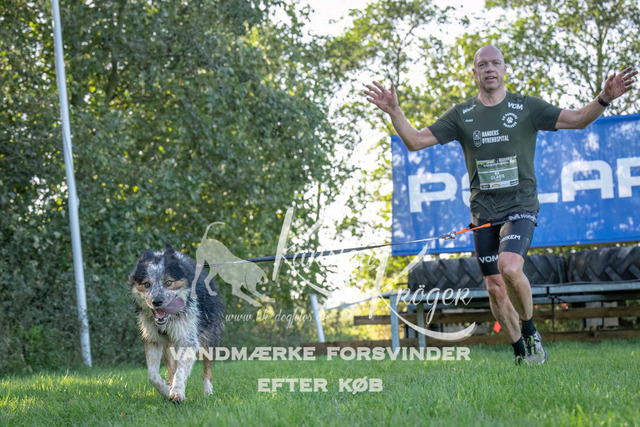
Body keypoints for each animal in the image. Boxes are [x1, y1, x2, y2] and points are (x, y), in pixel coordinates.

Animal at [129, 243, 224, 402]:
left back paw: (208, 392)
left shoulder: (188, 338)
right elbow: (152, 375)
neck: (169, 320)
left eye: (168, 282)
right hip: (169, 346)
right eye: (147, 284)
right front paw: (167, 390)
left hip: (208, 338)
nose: (157, 301)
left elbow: (182, 369)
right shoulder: (153, 339)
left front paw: (178, 392)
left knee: (207, 368)